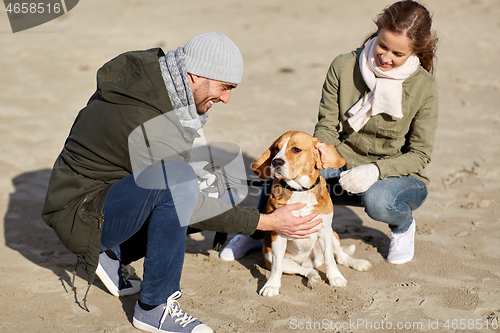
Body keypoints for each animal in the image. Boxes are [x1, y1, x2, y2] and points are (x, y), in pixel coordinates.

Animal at [254, 130, 372, 296]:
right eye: (276, 149)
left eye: (296, 149)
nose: (276, 162)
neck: (300, 190)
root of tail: (309, 261)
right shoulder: (279, 235)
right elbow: (277, 268)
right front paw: (271, 285)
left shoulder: (324, 230)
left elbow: (330, 259)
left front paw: (335, 278)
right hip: (271, 256)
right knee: (304, 270)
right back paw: (313, 278)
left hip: (332, 234)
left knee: (340, 257)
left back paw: (358, 263)